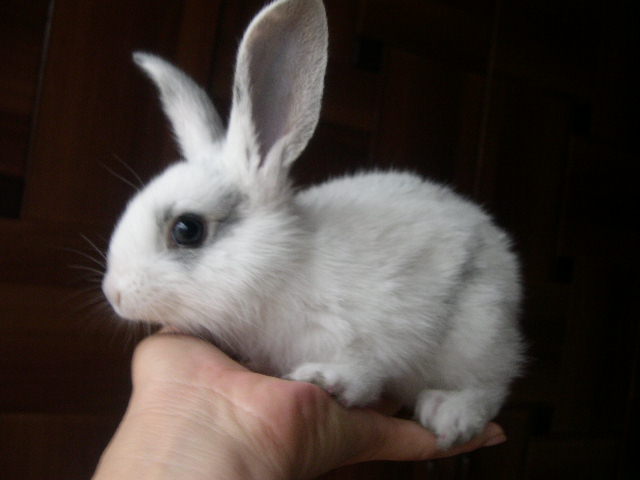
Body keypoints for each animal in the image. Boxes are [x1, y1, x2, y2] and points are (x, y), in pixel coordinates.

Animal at [102, 0, 524, 449]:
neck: (283, 267)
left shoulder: (365, 332)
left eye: (187, 229)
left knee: (490, 386)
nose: (114, 294)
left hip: (477, 331)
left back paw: (450, 415)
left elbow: (365, 372)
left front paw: (327, 380)